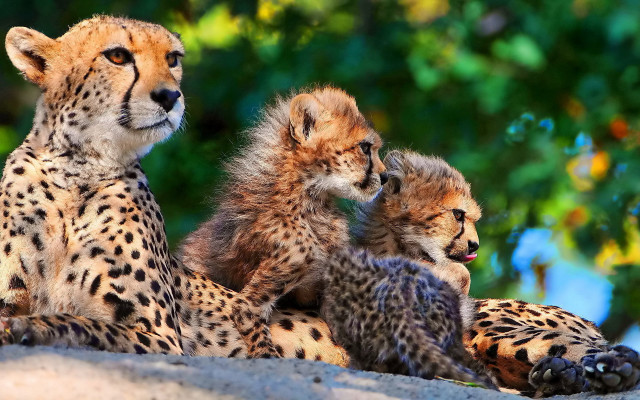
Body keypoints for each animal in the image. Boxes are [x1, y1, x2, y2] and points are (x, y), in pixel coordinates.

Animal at [0, 16, 349, 367]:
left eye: (172, 59)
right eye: (117, 56)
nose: (169, 97)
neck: (77, 173)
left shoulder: (162, 334)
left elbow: (81, 322)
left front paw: (29, 326)